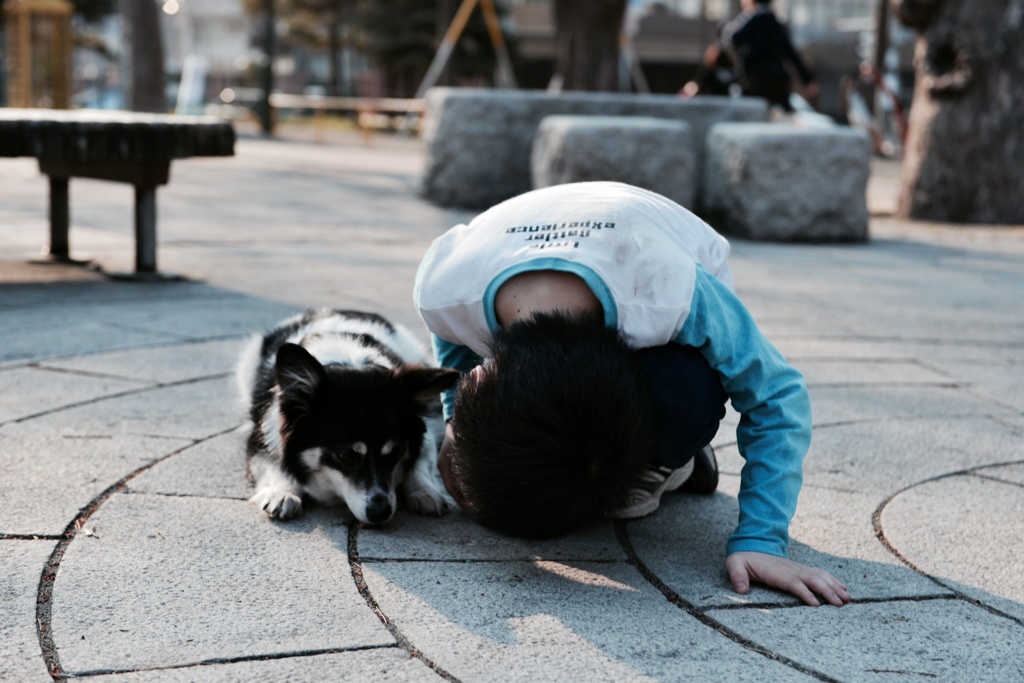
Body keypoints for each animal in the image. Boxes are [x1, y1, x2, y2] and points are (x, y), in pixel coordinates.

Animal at [235, 313, 460, 528]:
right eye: (347, 455)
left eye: (395, 451)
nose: (380, 513)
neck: (348, 361)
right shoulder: (261, 434)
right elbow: (274, 463)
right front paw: (283, 493)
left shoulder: (424, 432)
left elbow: (422, 459)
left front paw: (425, 491)